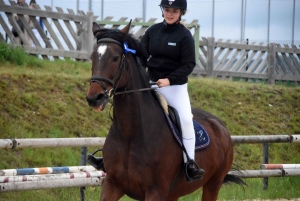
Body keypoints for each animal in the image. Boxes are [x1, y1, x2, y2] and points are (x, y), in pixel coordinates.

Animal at [85, 21, 245, 200]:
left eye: (115, 57)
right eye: (92, 57)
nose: (94, 98)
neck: (131, 134)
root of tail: (219, 125)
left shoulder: (156, 191)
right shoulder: (112, 184)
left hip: (213, 184)